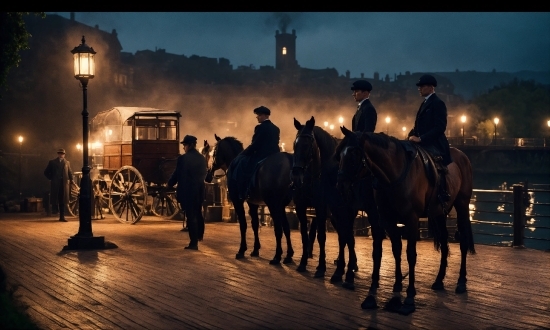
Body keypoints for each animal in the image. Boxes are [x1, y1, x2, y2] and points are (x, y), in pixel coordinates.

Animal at [211, 133, 298, 264]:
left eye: (215, 150)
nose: (211, 169)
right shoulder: (253, 203)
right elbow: (255, 224)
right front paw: (256, 249)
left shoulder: (237, 200)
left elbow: (243, 224)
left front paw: (242, 250)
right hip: (280, 205)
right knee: (285, 228)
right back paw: (288, 256)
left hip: (273, 204)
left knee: (278, 228)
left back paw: (277, 256)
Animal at [292, 117, 364, 288]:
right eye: (295, 144)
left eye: (308, 144)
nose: (297, 177)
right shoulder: (301, 207)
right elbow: (304, 235)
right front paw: (303, 263)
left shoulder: (321, 208)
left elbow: (322, 237)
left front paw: (321, 268)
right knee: (344, 235)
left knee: (347, 236)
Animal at [334, 126, 476, 314]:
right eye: (339, 155)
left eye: (354, 153)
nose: (340, 186)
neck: (393, 175)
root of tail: (462, 155)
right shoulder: (387, 220)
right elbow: (395, 251)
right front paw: (394, 291)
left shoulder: (411, 220)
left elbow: (410, 254)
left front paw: (409, 296)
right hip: (439, 213)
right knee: (445, 243)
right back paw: (439, 280)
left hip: (462, 205)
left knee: (463, 241)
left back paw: (461, 281)